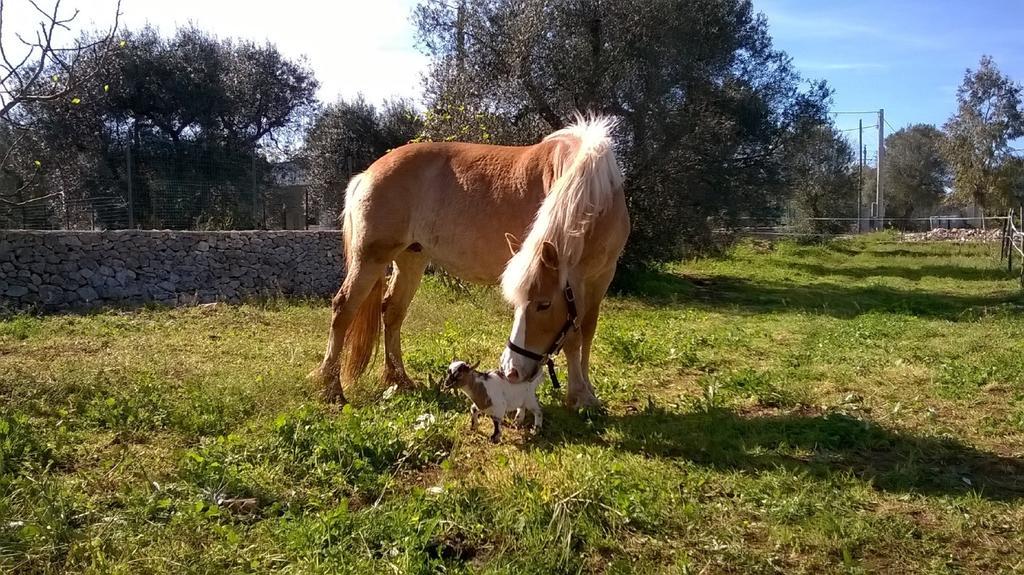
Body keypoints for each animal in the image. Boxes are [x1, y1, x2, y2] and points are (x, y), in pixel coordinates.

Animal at [309, 114, 630, 405]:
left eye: (543, 305)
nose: (511, 371)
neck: (595, 192)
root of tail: (366, 174)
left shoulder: (601, 278)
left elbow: (586, 333)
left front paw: (587, 392)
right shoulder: (574, 277)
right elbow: (573, 337)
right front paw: (579, 397)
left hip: (411, 259)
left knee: (392, 311)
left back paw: (399, 379)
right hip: (370, 259)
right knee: (343, 308)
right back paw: (332, 389)